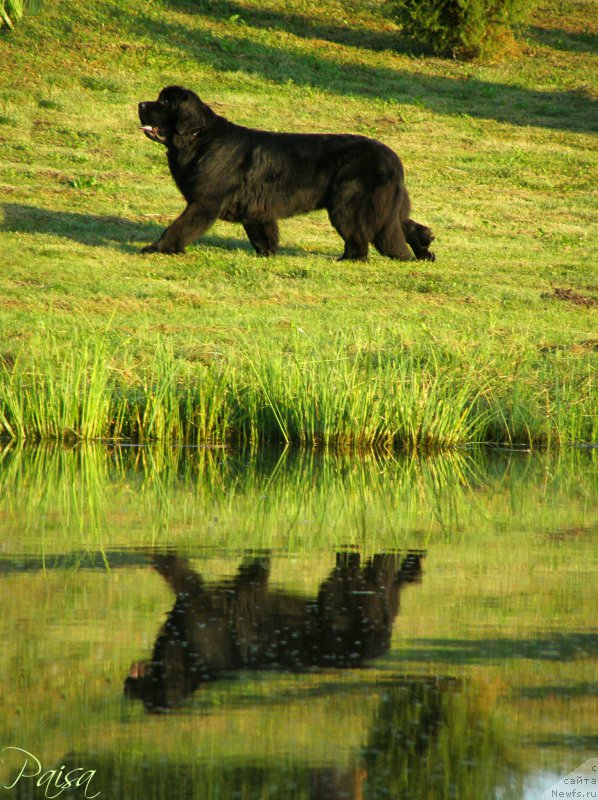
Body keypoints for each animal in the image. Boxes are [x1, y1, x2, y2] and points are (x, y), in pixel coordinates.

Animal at [137, 87, 436, 262]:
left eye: (164, 101)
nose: (140, 104)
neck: (197, 137)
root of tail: (393, 158)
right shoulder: (256, 209)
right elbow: (262, 233)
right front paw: (267, 254)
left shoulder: (205, 202)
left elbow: (179, 226)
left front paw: (157, 247)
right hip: (384, 207)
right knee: (401, 226)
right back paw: (424, 248)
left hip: (348, 206)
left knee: (360, 240)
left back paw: (349, 259)